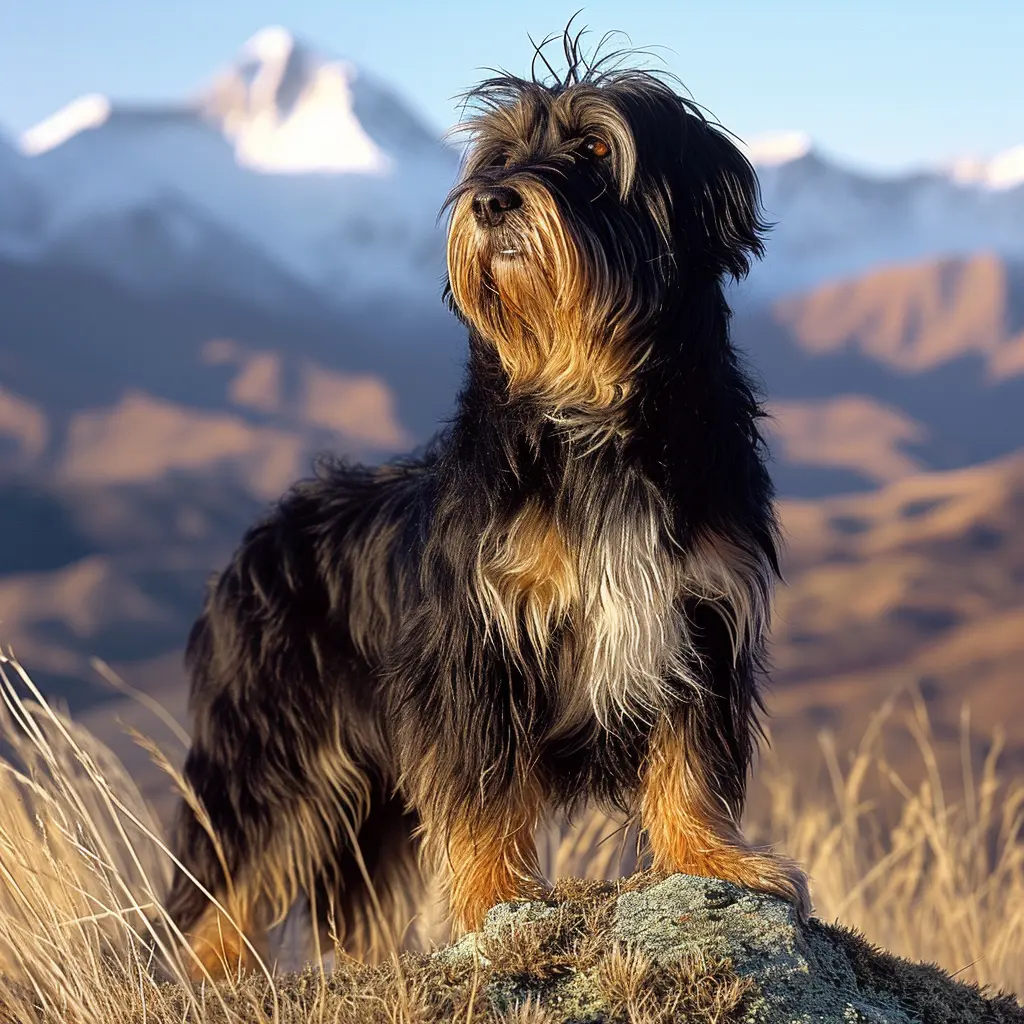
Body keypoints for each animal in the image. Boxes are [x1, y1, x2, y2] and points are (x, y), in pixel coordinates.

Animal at [165, 32, 806, 974]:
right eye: (499, 157)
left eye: (595, 148)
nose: (493, 200)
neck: (589, 414)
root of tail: (262, 534)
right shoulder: (476, 642)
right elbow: (484, 790)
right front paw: (500, 899)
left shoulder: (698, 618)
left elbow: (688, 763)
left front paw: (714, 859)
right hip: (269, 751)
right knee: (226, 878)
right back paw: (208, 976)